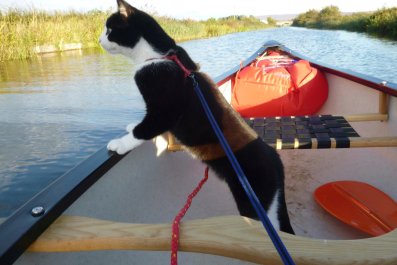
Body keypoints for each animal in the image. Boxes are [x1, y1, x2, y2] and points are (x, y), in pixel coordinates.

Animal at [98, 0, 292, 232]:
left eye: (109, 30)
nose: (99, 41)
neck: (159, 56)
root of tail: (275, 159)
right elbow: (142, 123)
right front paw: (129, 126)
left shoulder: (164, 112)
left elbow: (143, 130)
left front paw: (120, 143)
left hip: (256, 203)